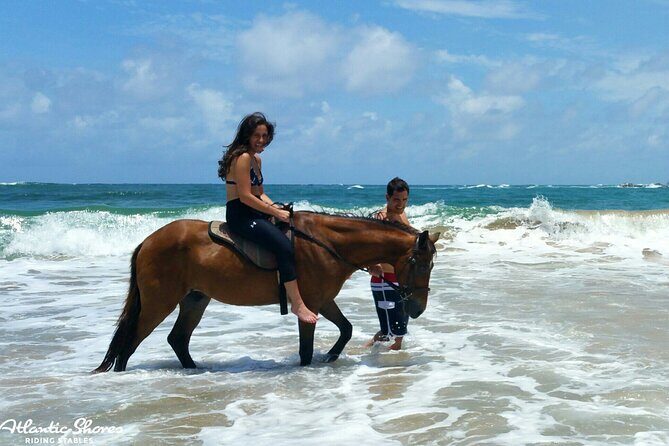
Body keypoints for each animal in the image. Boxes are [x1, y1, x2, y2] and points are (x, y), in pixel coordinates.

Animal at [93, 211, 439, 372]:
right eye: (420, 265)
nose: (418, 309)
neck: (327, 244)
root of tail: (148, 241)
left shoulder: (323, 300)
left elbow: (346, 329)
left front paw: (330, 356)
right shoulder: (310, 304)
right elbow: (305, 349)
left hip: (195, 299)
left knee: (177, 339)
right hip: (159, 302)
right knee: (130, 341)